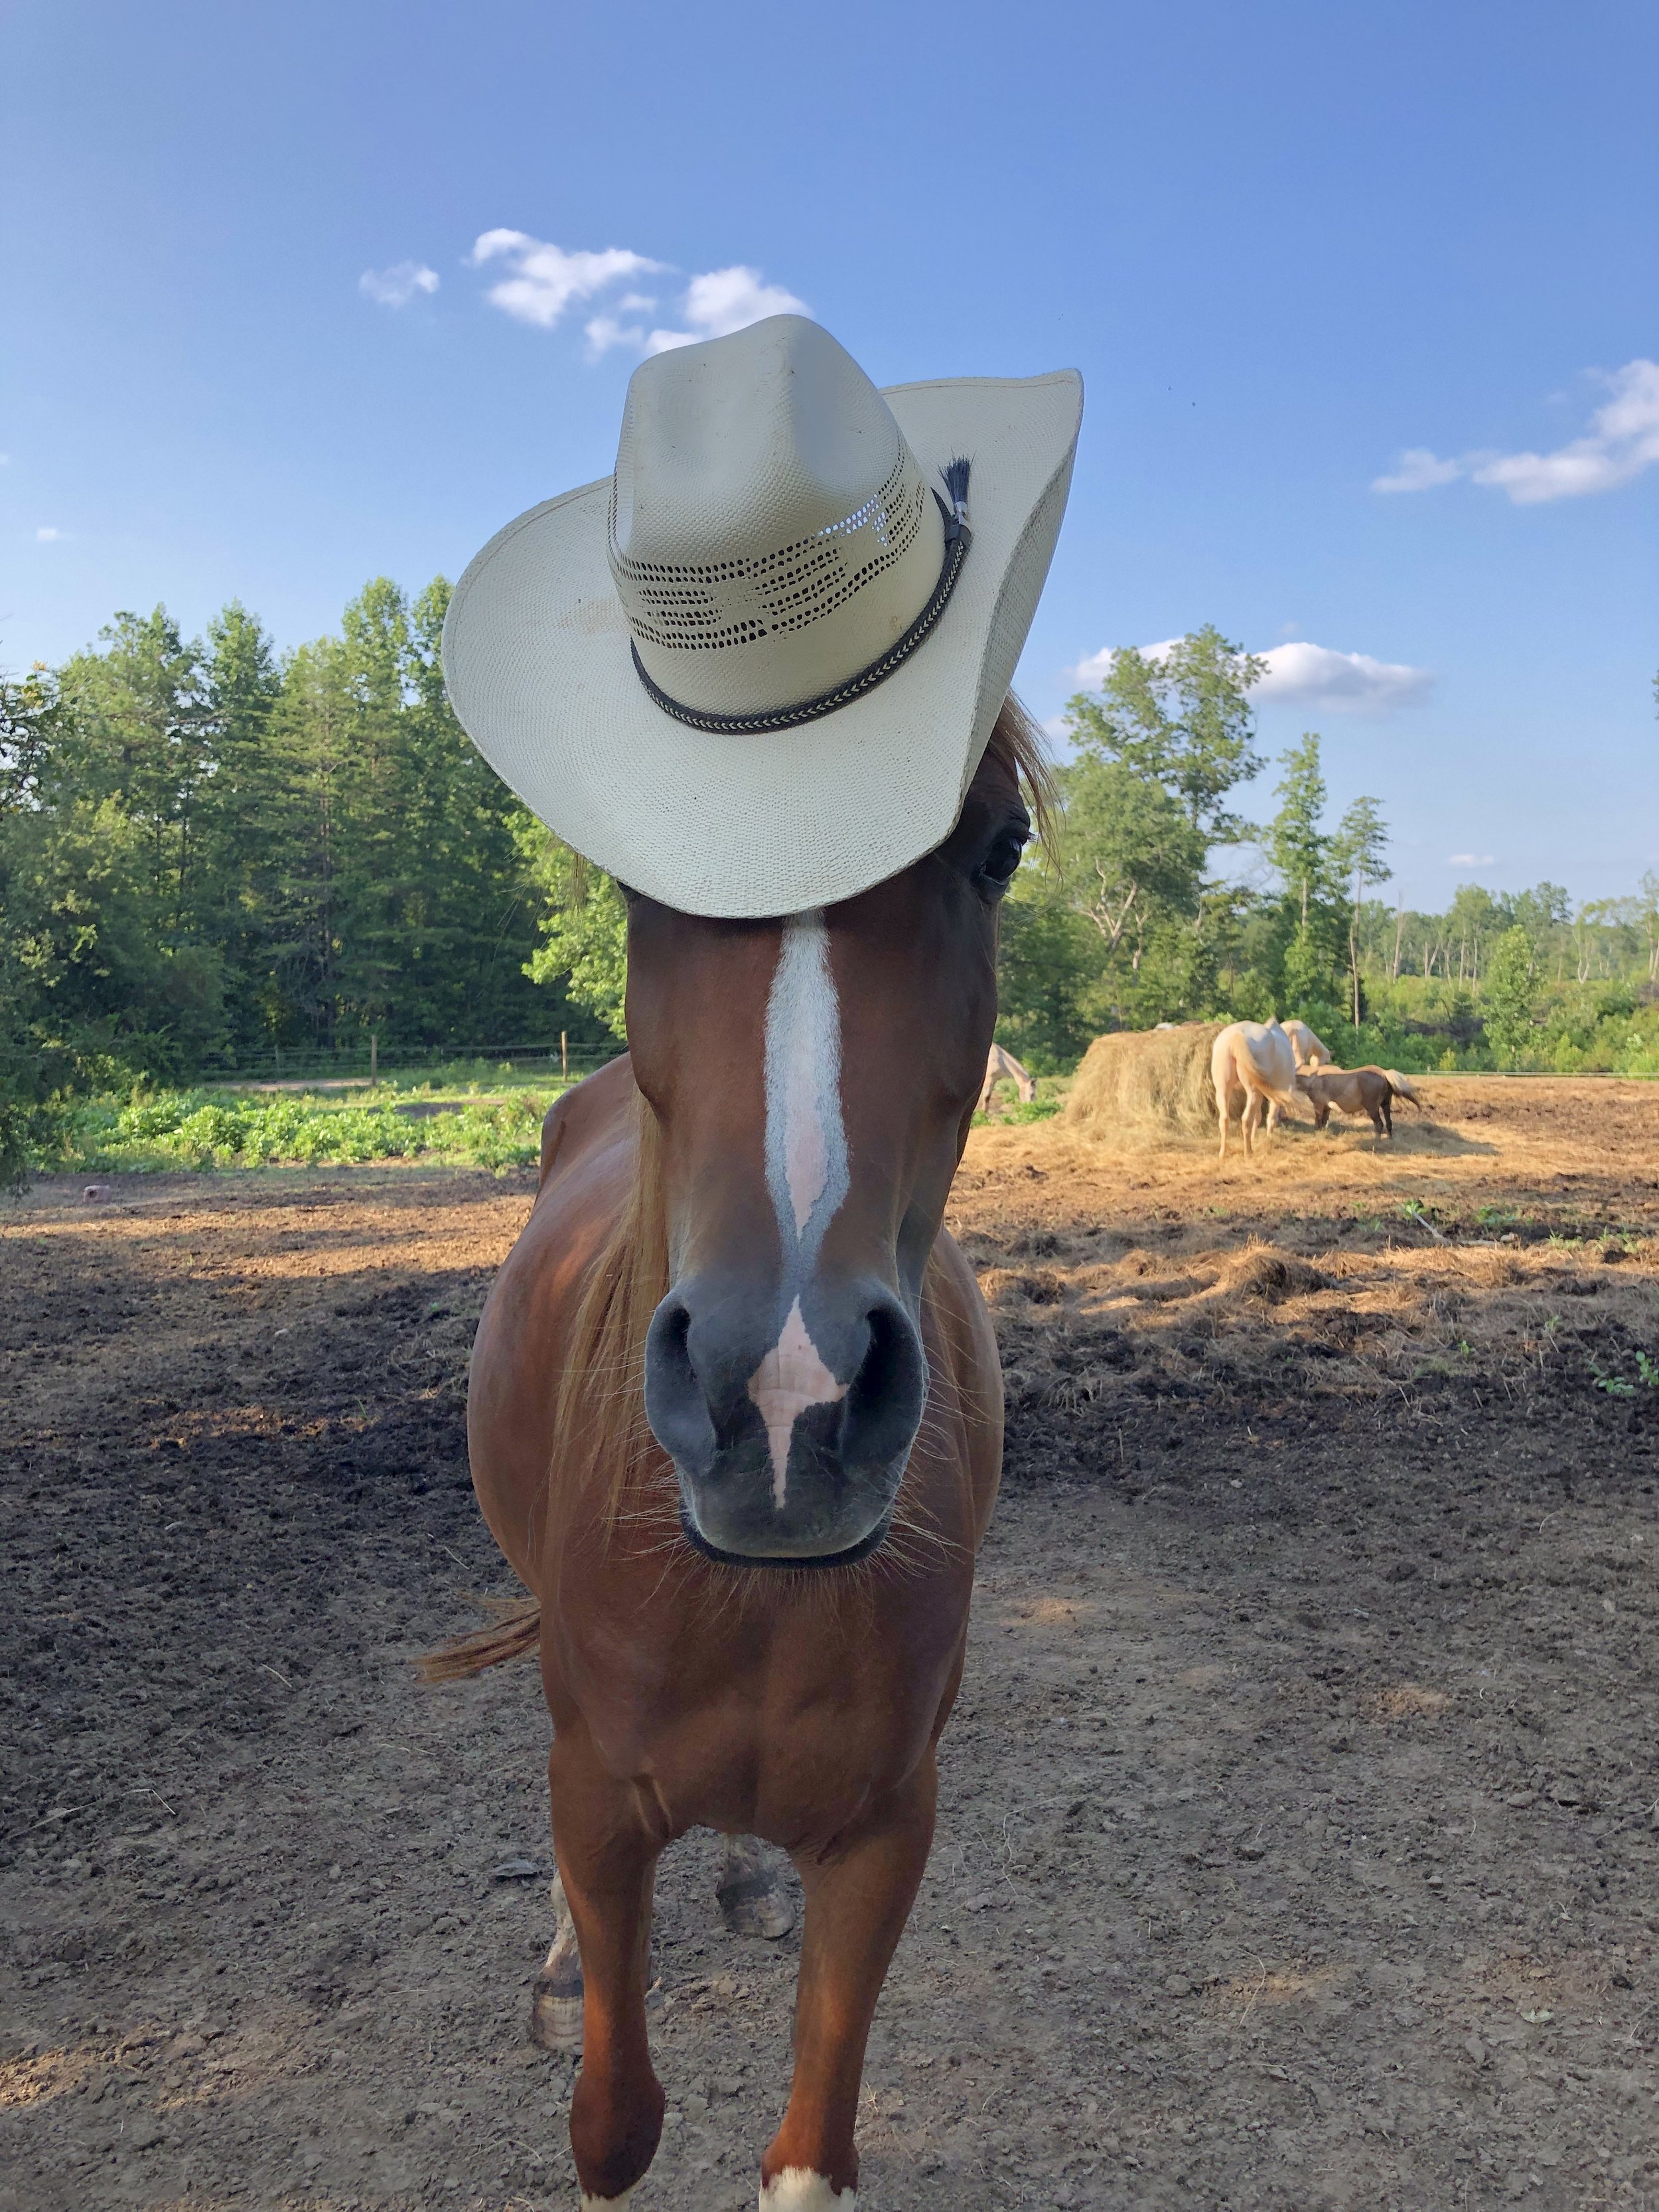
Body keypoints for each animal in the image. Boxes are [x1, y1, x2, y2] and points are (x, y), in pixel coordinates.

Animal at [424, 700, 1050, 2211]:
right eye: (636, 876)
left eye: (999, 849)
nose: (784, 1398)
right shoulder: (597, 1800)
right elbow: (612, 2126)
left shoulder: (885, 1832)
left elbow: (809, 2151)